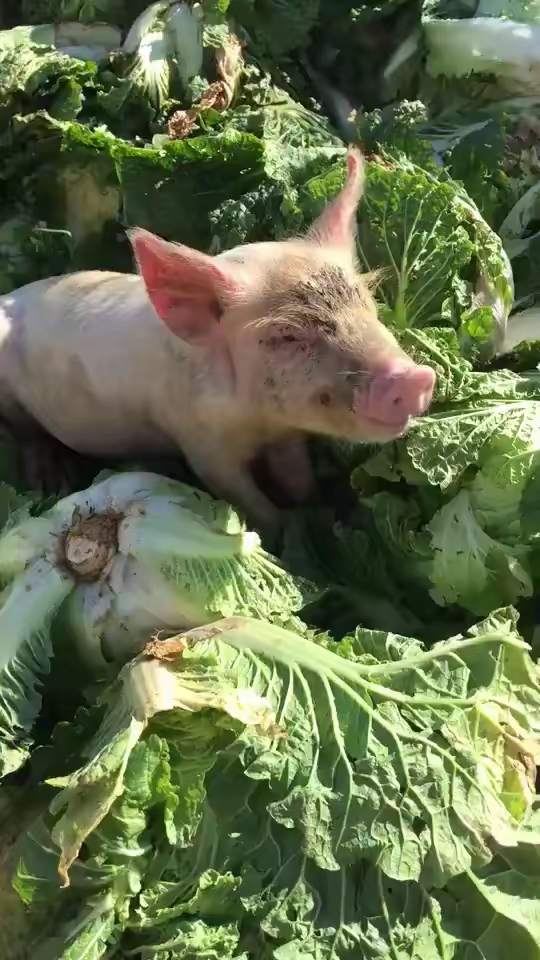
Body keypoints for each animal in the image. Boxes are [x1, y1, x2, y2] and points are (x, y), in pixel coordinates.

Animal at [0, 149, 434, 520]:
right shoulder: (201, 443)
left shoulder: (285, 433)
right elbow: (253, 506)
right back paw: (52, 483)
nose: (413, 376)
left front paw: (314, 509)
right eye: (287, 335)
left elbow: (298, 479)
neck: (258, 421)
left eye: (368, 304)